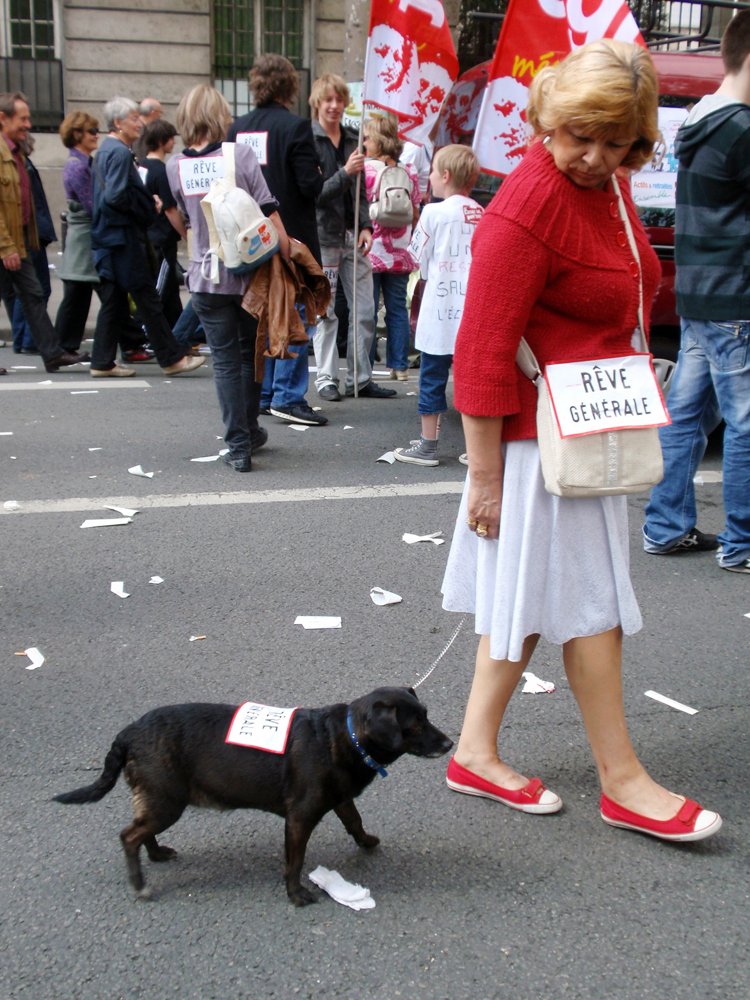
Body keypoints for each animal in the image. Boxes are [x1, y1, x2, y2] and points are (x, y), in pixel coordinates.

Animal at [54, 688, 452, 908]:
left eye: (426, 715)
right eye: (415, 725)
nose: (449, 743)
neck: (343, 736)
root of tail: (128, 733)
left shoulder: (339, 799)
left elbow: (355, 821)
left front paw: (367, 842)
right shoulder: (299, 818)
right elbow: (294, 862)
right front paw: (295, 895)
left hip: (158, 801)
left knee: (141, 832)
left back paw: (156, 854)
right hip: (166, 801)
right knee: (129, 836)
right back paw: (139, 884)